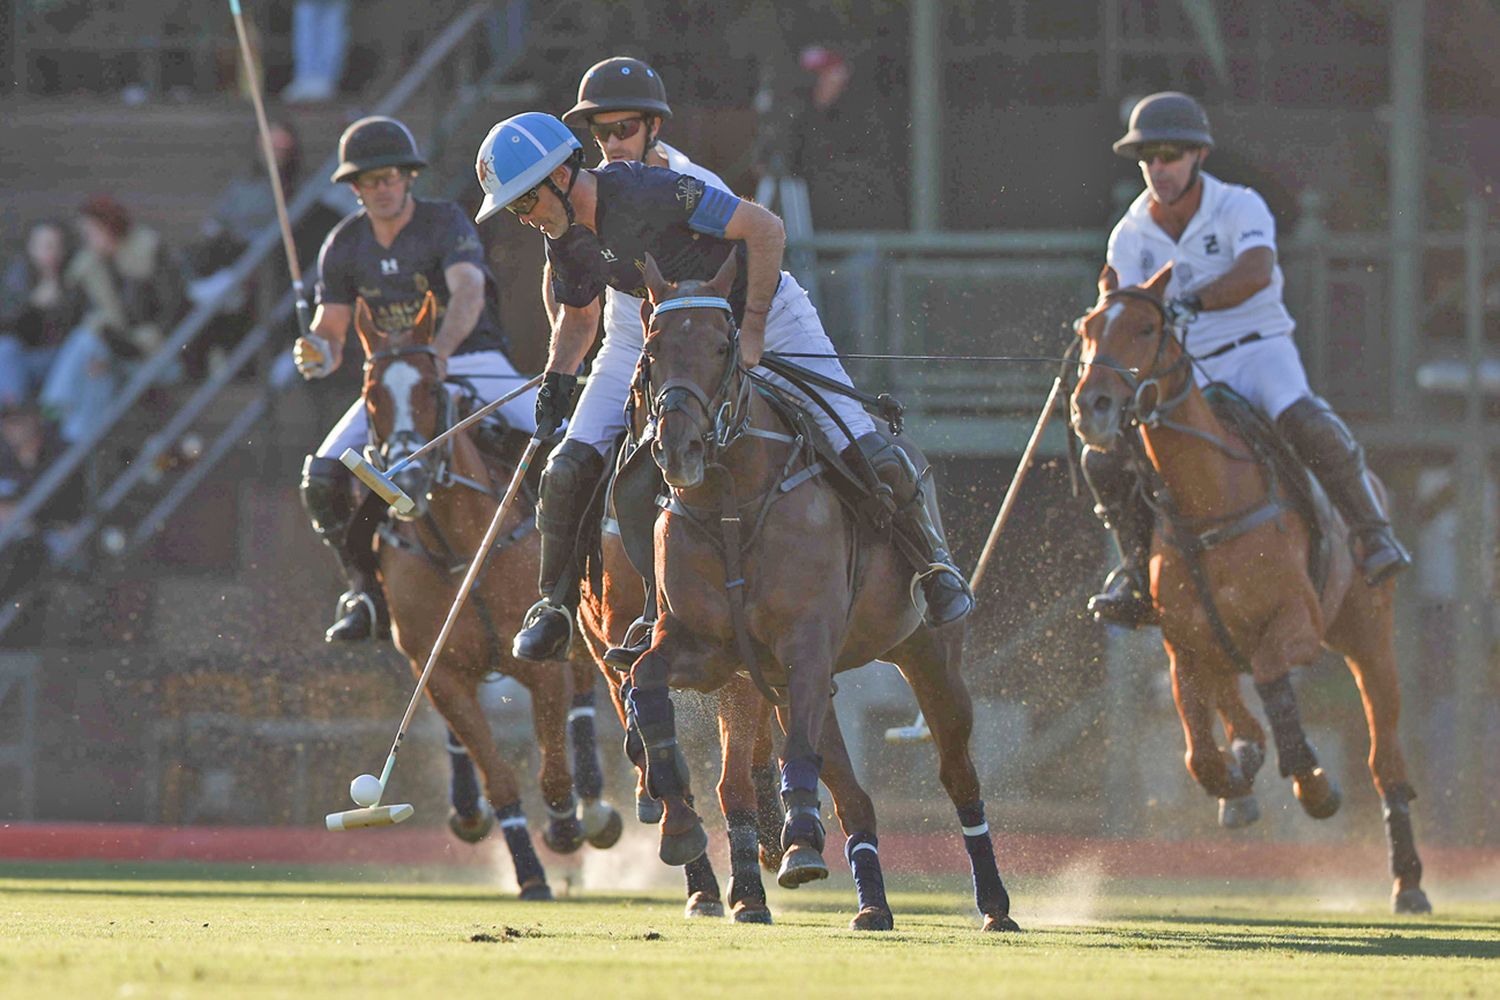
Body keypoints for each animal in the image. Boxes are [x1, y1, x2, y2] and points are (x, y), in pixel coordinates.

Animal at [352, 296, 621, 899]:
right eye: (370, 391)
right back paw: (469, 812)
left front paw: (565, 827)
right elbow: (498, 778)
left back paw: (594, 810)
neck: (460, 545)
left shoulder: (541, 669)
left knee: (584, 695)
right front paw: (531, 874)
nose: (411, 469)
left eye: (434, 388)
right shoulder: (441, 672)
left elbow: (553, 772)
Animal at [621, 254, 1020, 935]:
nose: (679, 448)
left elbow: (798, 749)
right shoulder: (708, 648)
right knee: (855, 795)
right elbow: (645, 680)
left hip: (930, 656)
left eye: (724, 346)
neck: (731, 500)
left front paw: (802, 841)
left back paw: (993, 904)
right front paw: (678, 820)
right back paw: (873, 904)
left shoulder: (804, 643)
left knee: (958, 774)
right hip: (788, 683)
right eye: (652, 348)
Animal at [1068, 263, 1428, 917]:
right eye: (1088, 328)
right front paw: (1237, 779)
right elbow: (1197, 742)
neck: (1207, 501)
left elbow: (1272, 683)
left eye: (1147, 327)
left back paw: (1408, 881)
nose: (1092, 407)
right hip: (1221, 639)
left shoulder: (1298, 624)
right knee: (1230, 699)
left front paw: (1313, 782)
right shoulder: (1182, 642)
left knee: (1384, 757)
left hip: (1369, 638)